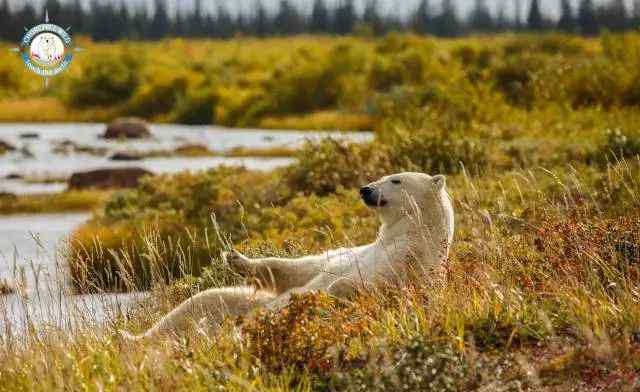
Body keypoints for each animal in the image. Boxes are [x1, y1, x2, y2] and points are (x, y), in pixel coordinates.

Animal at [124, 172, 456, 340]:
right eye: (385, 175)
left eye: (396, 180)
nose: (365, 189)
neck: (403, 233)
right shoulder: (358, 252)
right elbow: (304, 268)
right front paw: (235, 257)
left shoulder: (410, 259)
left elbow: (365, 285)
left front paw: (324, 296)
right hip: (231, 303)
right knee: (195, 304)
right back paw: (134, 338)